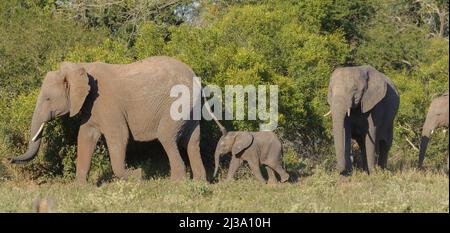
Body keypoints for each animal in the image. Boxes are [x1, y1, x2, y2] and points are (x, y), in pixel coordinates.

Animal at [10, 56, 207, 182]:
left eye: (48, 99)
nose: (10, 160)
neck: (80, 68)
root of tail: (196, 78)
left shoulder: (107, 103)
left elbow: (119, 136)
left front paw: (137, 176)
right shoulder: (91, 108)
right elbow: (85, 137)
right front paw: (79, 188)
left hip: (178, 104)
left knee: (167, 137)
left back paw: (175, 185)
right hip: (190, 107)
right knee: (192, 141)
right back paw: (199, 182)